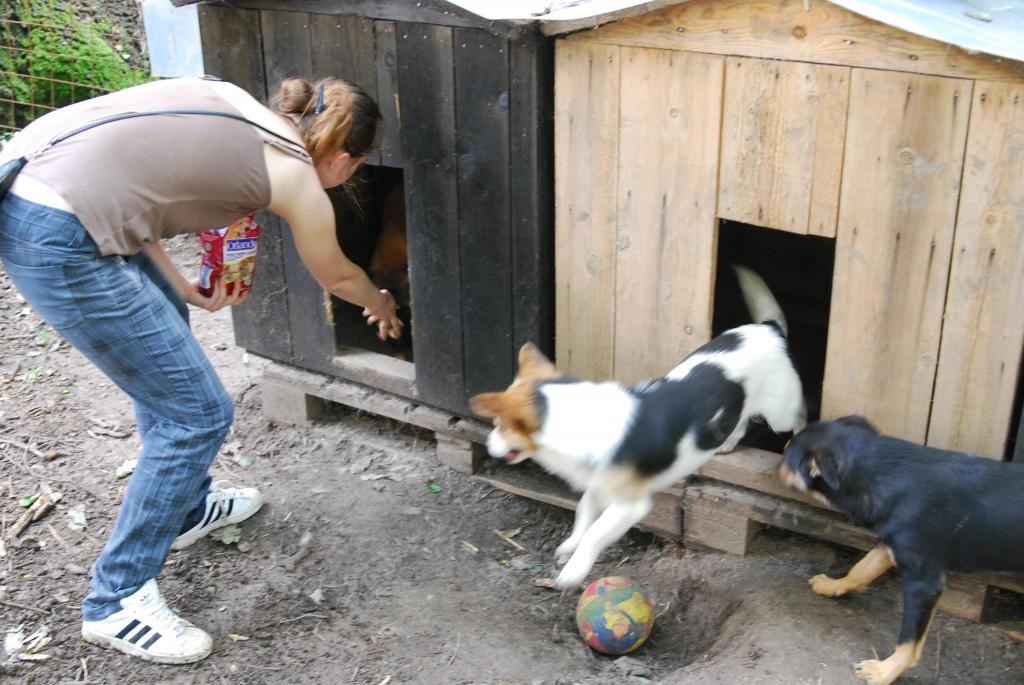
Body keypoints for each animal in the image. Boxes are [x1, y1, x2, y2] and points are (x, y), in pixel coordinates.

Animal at [471, 266, 806, 589]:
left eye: (499, 426)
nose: (487, 444)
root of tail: (768, 328)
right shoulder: (598, 485)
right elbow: (583, 514)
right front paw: (570, 546)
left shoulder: (630, 505)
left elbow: (595, 532)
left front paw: (573, 572)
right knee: (741, 418)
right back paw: (726, 442)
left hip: (780, 411)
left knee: (798, 417)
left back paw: (797, 443)